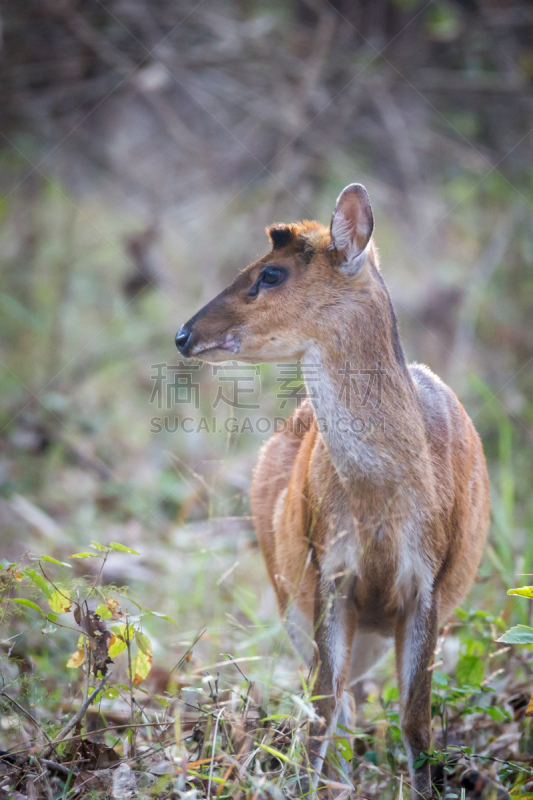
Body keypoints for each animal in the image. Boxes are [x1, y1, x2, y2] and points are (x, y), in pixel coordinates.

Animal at [174, 184, 486, 796]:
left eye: (270, 273)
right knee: (340, 703)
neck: (384, 504)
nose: (183, 335)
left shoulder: (428, 583)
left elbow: (416, 723)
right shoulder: (329, 571)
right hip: (286, 591)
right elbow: (321, 710)